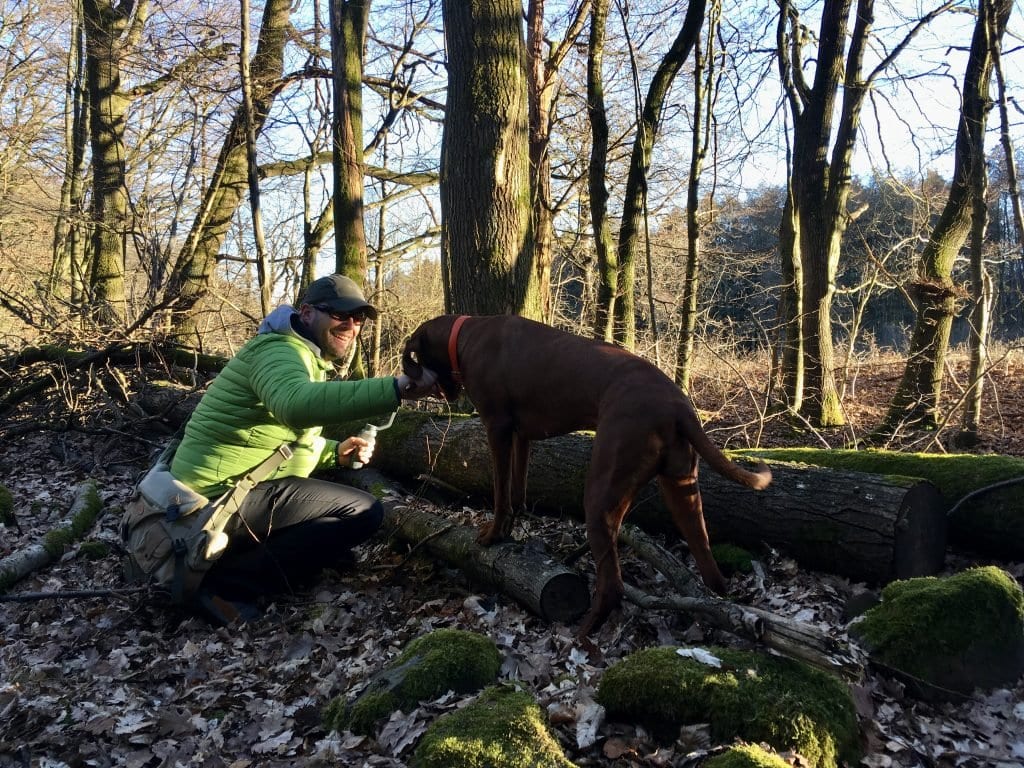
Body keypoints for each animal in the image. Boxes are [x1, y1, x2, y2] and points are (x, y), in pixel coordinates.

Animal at [403, 313, 770, 638]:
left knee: (612, 585)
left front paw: (493, 535)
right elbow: (518, 491)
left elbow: (501, 493)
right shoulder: (523, 437)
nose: (408, 386)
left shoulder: (498, 429)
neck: (466, 334)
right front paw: (509, 531)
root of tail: (679, 405)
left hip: (601, 493)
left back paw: (582, 635)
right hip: (681, 487)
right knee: (706, 559)